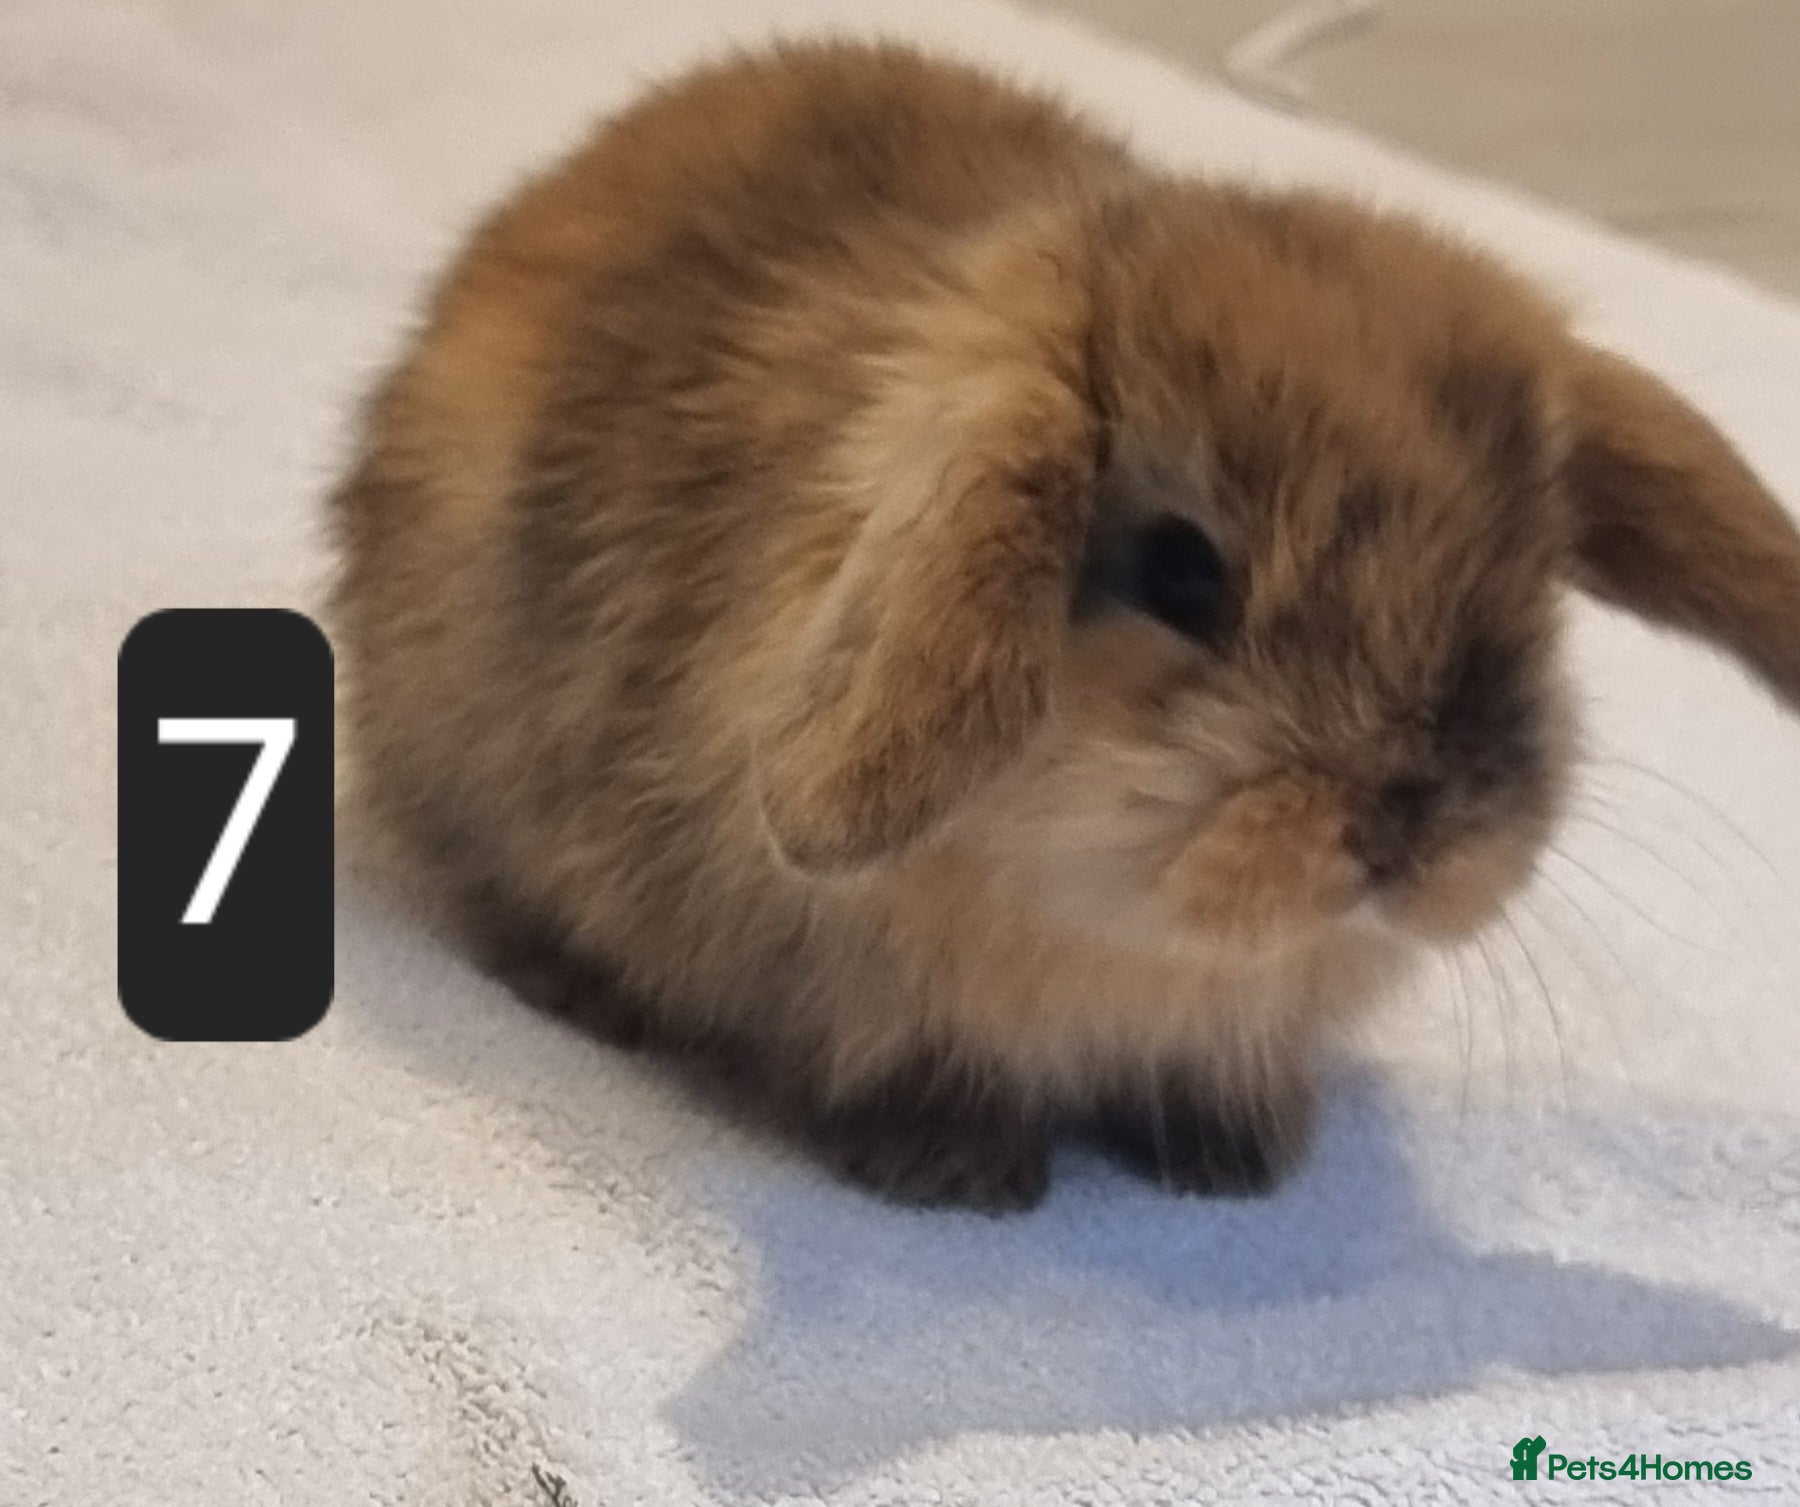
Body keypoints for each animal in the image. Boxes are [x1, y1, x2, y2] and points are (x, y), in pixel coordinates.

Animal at [330, 41, 1800, 1210]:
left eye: (1531, 583)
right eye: (1181, 571)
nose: (1415, 825)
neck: (1116, 931)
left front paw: (1237, 1163)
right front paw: (965, 1171)